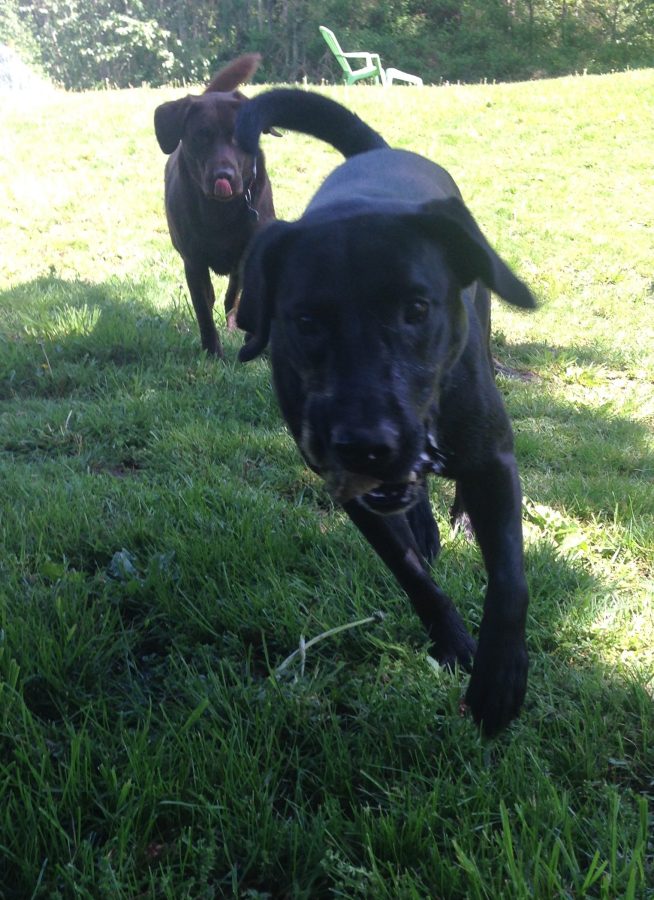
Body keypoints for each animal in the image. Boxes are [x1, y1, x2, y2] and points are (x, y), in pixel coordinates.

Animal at [154, 54, 275, 356]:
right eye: (200, 136)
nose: (224, 176)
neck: (222, 211)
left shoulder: (251, 252)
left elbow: (239, 294)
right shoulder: (193, 261)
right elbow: (203, 309)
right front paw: (213, 351)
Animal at [234, 89, 536, 736]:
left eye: (415, 309)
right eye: (305, 321)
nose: (368, 445)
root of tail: (378, 152)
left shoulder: (493, 456)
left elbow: (509, 578)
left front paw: (500, 676)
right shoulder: (346, 486)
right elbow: (409, 572)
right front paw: (454, 642)